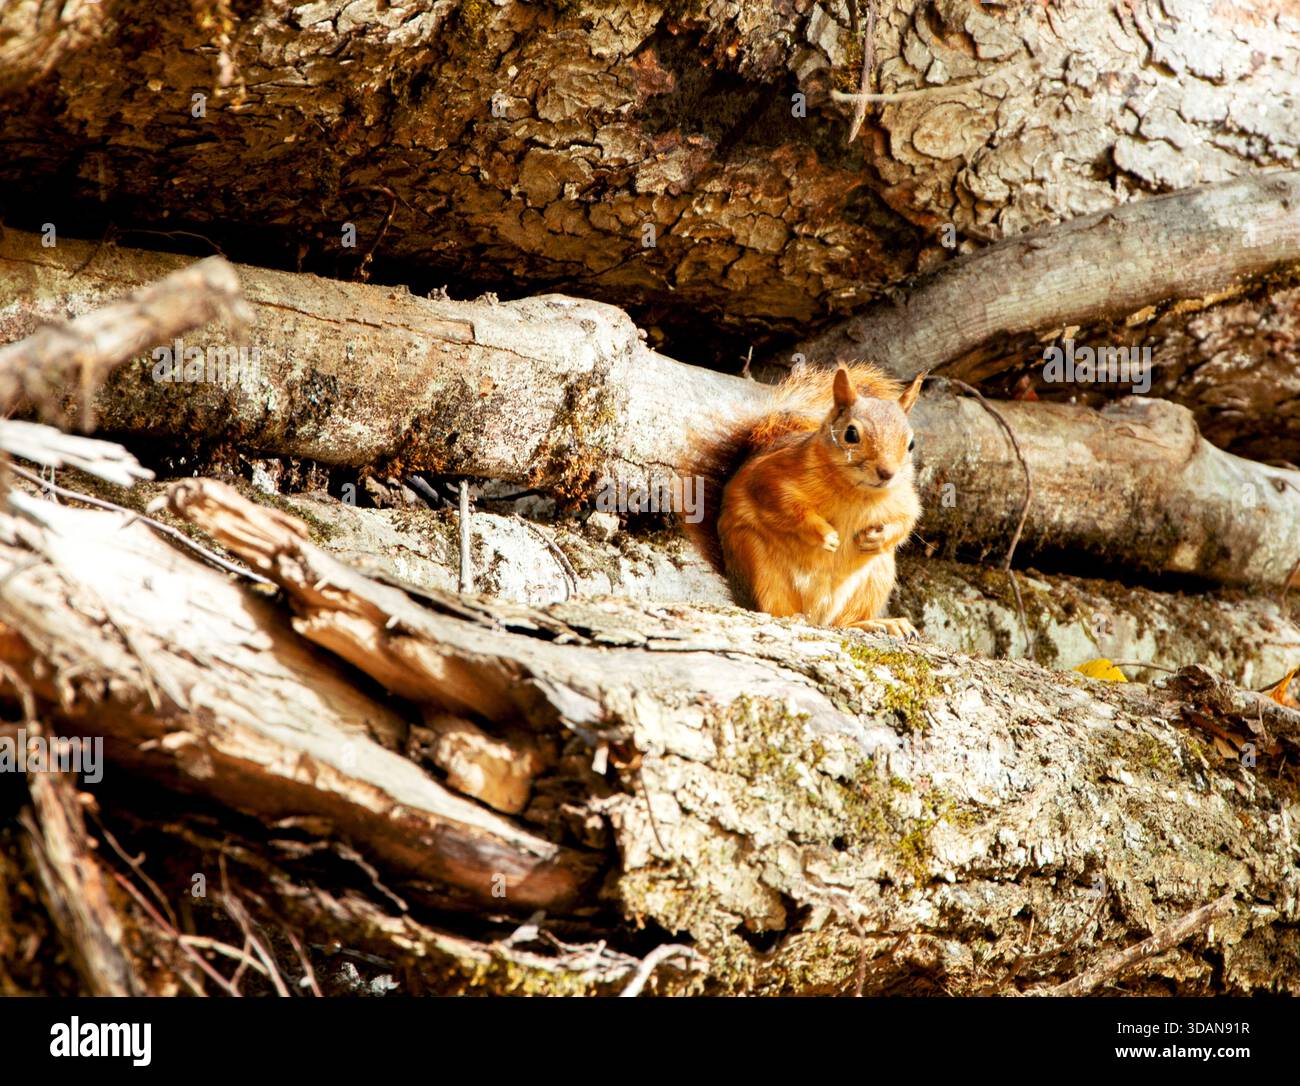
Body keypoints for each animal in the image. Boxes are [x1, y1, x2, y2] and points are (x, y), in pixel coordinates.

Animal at [682, 363, 925, 639]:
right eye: (851, 434)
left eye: (911, 443)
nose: (887, 473)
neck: (857, 493)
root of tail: (817, 617)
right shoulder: (771, 476)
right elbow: (786, 506)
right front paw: (826, 535)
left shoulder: (904, 498)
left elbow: (906, 520)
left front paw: (877, 538)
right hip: (758, 564)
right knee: (772, 608)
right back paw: (792, 616)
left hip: (877, 575)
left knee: (843, 622)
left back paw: (877, 623)